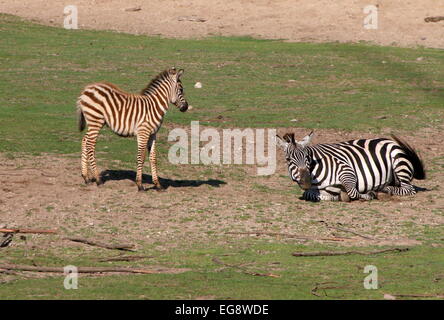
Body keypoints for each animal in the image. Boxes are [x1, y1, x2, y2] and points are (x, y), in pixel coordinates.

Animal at [276, 131, 424, 201]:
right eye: (288, 159)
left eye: (307, 157)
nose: (306, 181)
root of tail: (391, 141)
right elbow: (309, 194)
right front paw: (336, 197)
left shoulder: (347, 171)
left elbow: (353, 192)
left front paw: (369, 195)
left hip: (399, 163)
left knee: (408, 189)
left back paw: (383, 189)